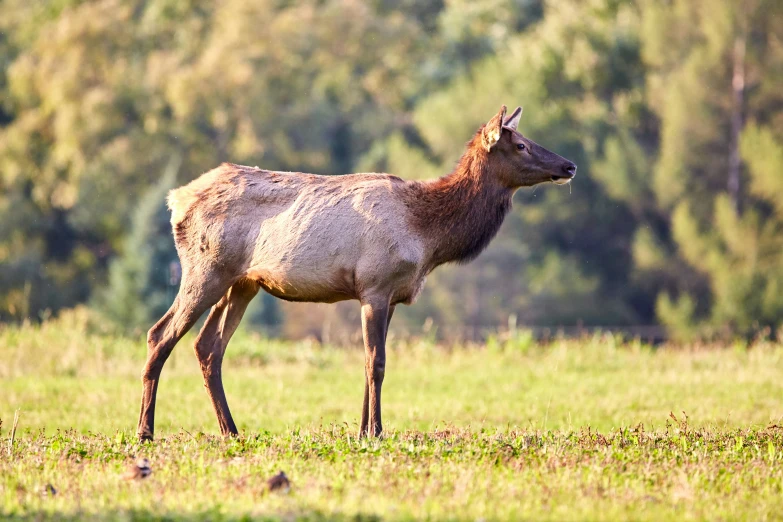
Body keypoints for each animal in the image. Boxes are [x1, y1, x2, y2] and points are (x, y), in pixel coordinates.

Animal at [138, 104, 576, 438]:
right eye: (521, 144)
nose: (570, 165)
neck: (428, 237)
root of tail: (175, 200)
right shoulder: (375, 284)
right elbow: (376, 363)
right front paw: (377, 431)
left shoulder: (391, 295)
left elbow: (371, 363)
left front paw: (364, 430)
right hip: (205, 269)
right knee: (160, 334)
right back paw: (146, 431)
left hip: (242, 282)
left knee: (208, 346)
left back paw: (230, 430)